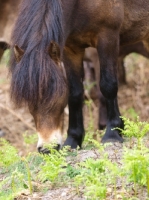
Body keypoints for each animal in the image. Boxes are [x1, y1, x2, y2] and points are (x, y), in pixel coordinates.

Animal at [9, 0, 149, 153]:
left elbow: (108, 86)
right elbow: (75, 93)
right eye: (28, 101)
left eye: (58, 96)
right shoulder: (70, 48)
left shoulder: (107, 37)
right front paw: (73, 140)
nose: (47, 149)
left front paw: (112, 133)